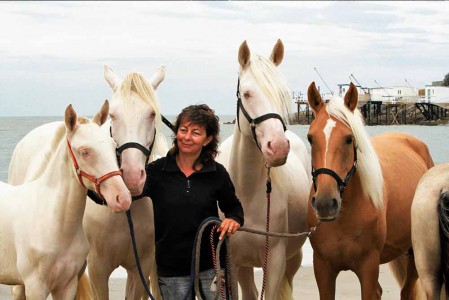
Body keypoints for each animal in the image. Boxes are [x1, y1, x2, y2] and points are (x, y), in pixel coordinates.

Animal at [218, 40, 312, 300]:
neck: (247, 194)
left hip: (293, 257)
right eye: (247, 93)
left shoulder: (276, 260)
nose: (278, 147)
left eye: (283, 94)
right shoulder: (230, 261)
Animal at [306, 82, 432, 300]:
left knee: (407, 291)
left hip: (415, 253)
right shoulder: (323, 268)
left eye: (349, 139)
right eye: (310, 138)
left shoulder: (368, 267)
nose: (325, 203)